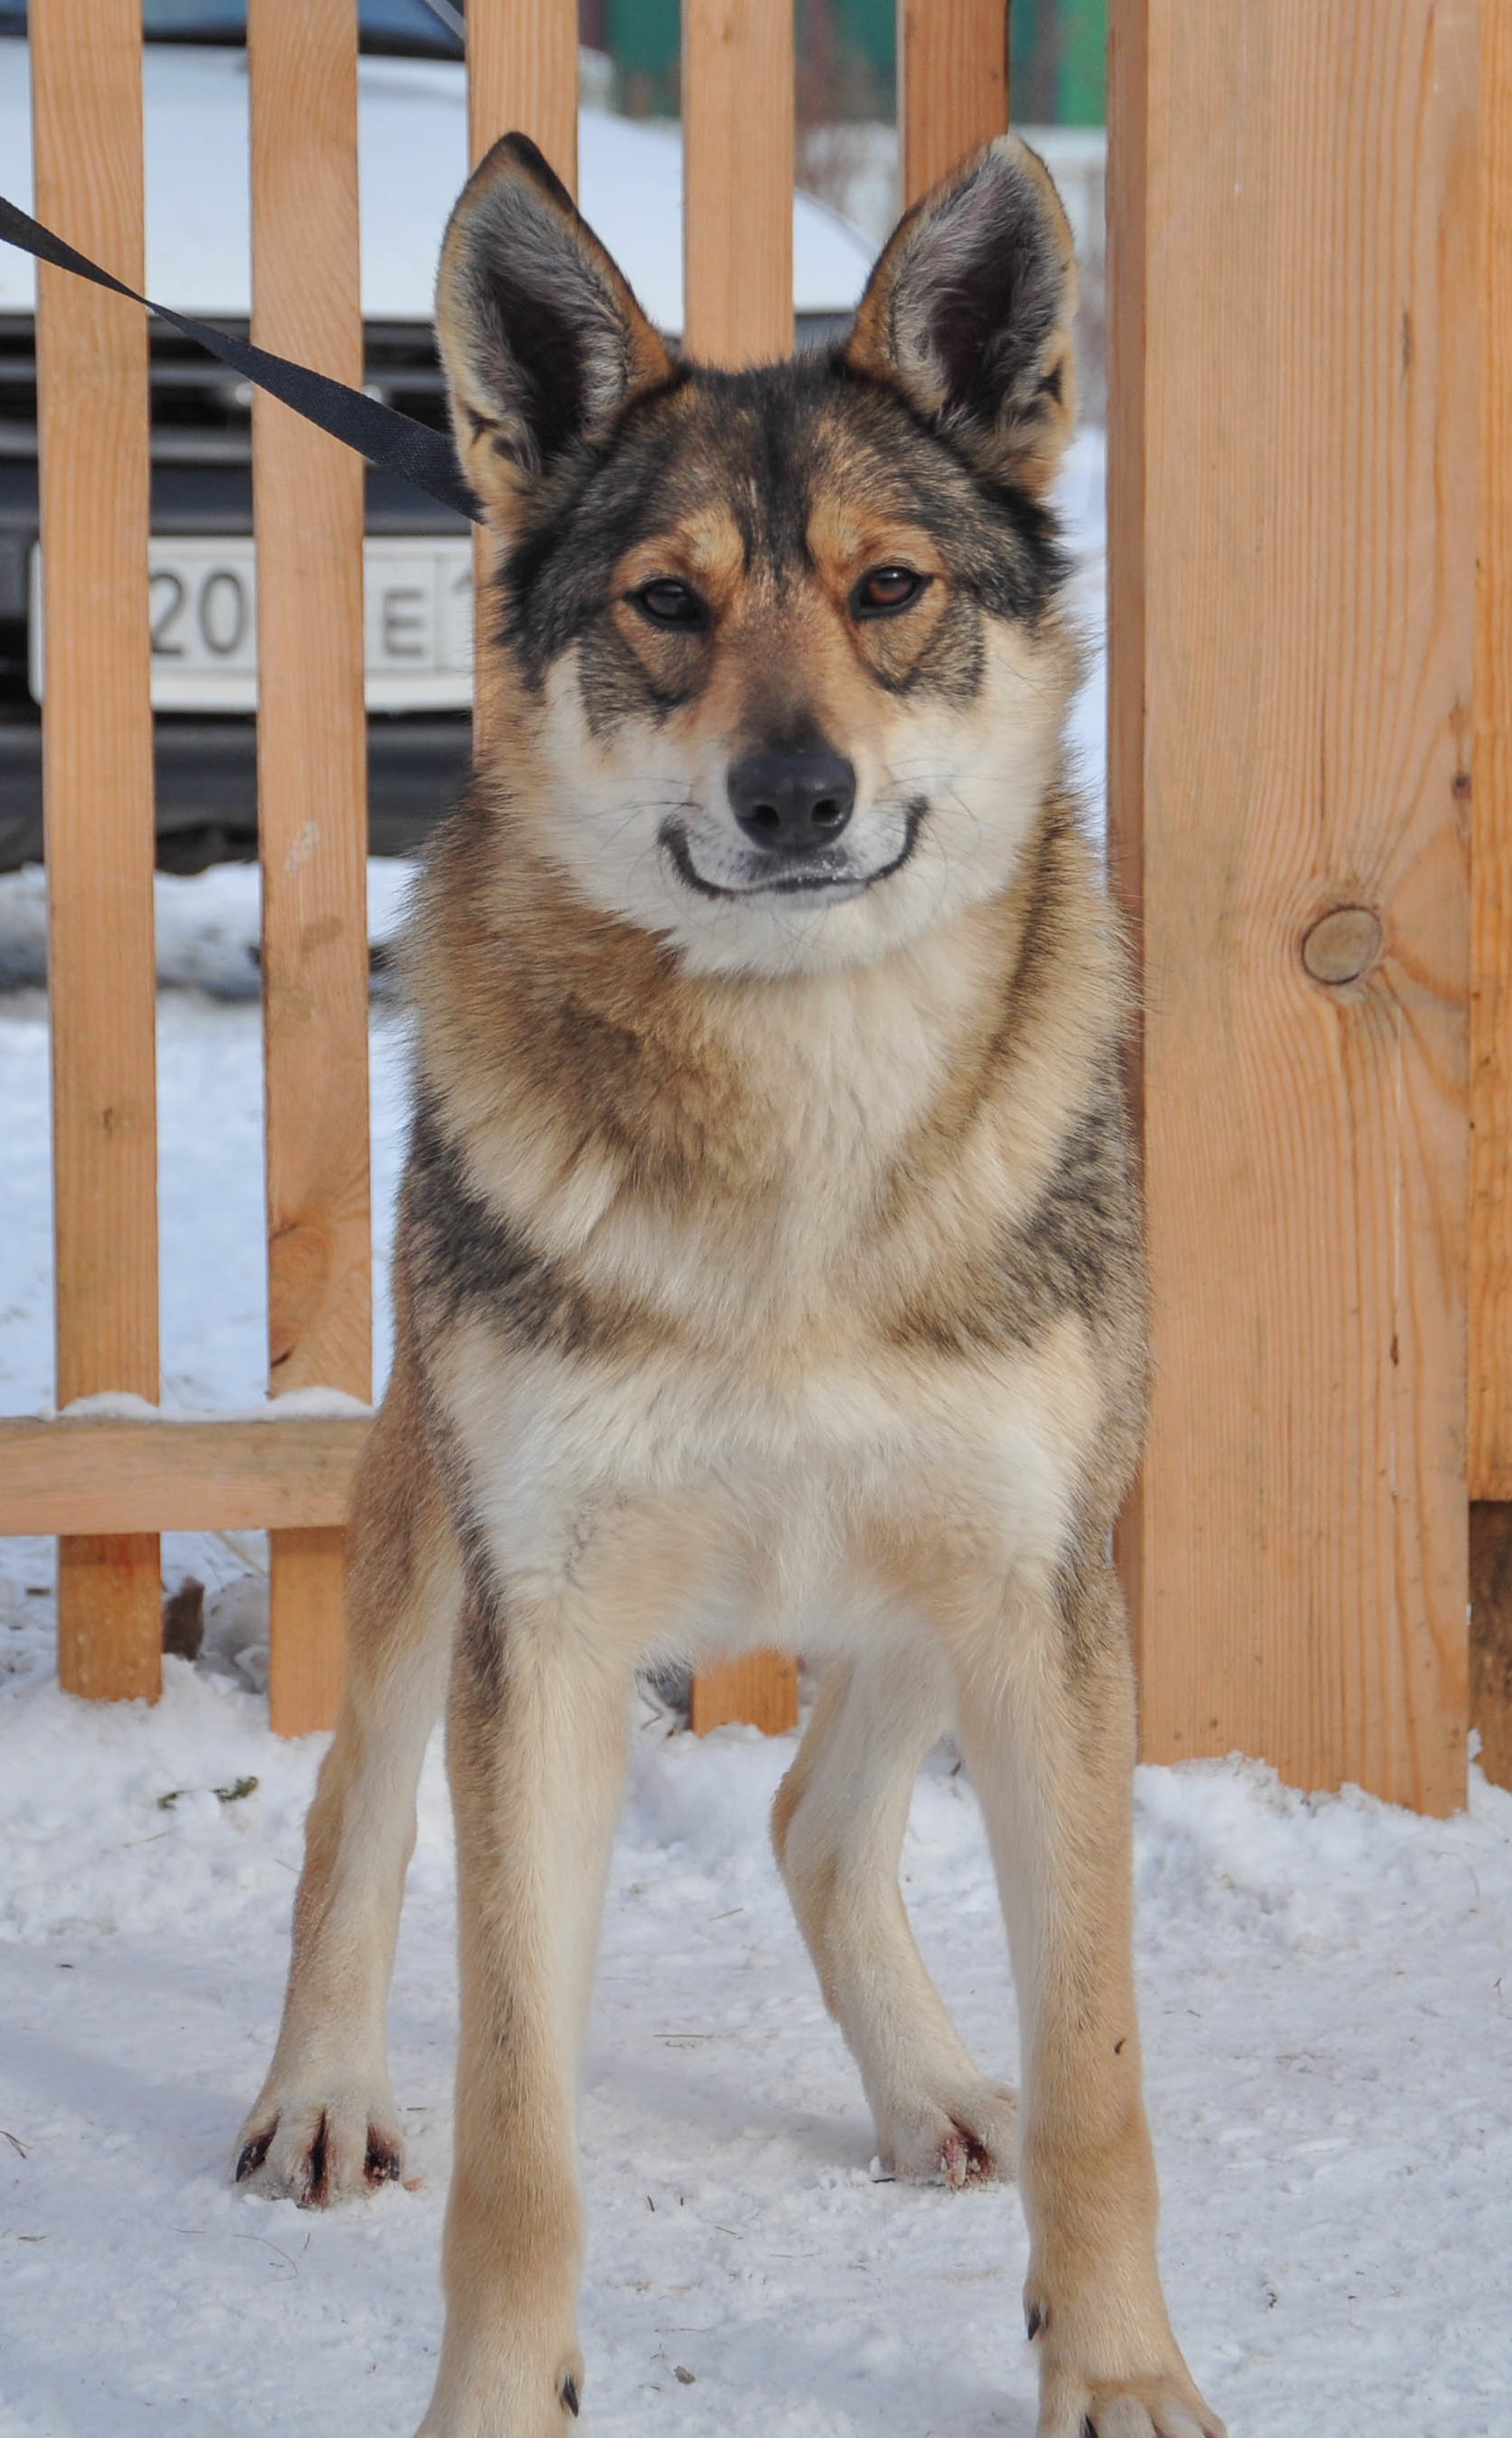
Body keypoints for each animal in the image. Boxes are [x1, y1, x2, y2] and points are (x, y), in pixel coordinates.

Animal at [236, 133, 1228, 2438]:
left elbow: (1102, 2082)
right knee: (351, 1816)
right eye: (667, 606)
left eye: (889, 592)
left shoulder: (1046, 1597)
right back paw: (320, 2094)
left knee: (805, 1813)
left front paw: (1118, 2370)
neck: (799, 1146)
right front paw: (496, 2403)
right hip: (434, 1543)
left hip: (956, 1576)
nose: (797, 795)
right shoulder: (544, 1641)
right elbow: (515, 2135)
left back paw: (934, 2088)